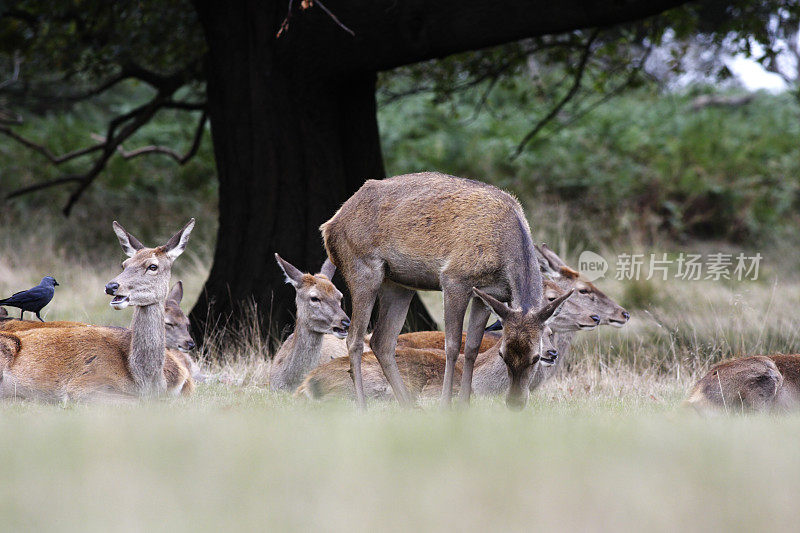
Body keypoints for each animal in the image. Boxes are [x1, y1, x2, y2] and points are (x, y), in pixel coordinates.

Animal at [318, 171, 556, 408]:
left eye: (535, 357)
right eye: (502, 354)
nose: (515, 403)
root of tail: (329, 226)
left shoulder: (488, 295)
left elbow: (472, 347)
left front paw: (464, 405)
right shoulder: (454, 279)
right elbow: (452, 345)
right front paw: (446, 405)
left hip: (398, 284)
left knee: (382, 341)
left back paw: (409, 406)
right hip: (362, 268)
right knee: (354, 339)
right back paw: (363, 407)